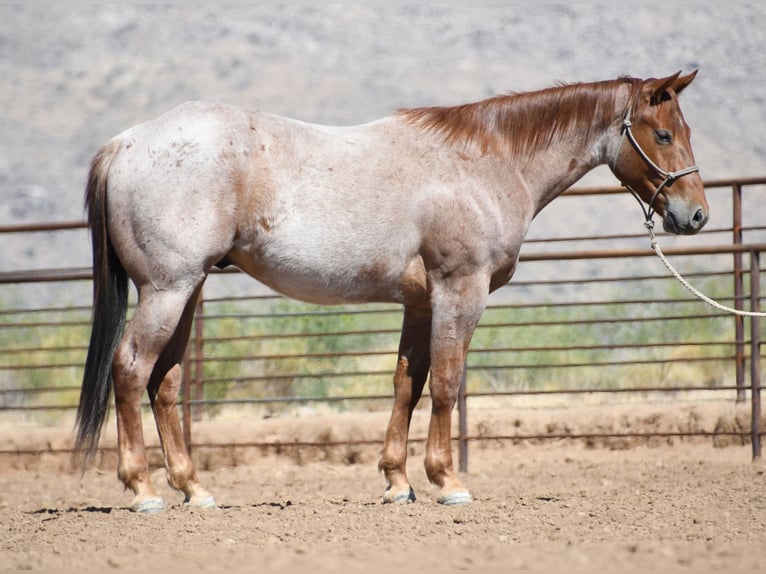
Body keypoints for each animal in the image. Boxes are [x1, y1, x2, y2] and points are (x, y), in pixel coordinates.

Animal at [74, 71, 708, 513]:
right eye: (662, 133)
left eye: (684, 131)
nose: (696, 215)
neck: (485, 163)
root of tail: (124, 145)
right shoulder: (459, 290)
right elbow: (447, 383)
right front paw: (447, 481)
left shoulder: (420, 303)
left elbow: (408, 384)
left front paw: (397, 482)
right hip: (167, 288)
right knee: (130, 369)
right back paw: (143, 490)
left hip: (188, 289)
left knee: (165, 382)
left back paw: (195, 489)